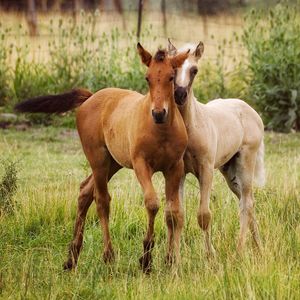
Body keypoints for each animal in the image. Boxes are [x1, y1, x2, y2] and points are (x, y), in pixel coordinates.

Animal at [15, 44, 189, 272]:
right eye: (147, 78)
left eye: (171, 77)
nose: (158, 113)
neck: (161, 131)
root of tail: (90, 97)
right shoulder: (141, 165)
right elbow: (152, 203)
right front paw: (146, 259)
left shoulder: (174, 168)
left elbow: (173, 212)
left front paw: (170, 260)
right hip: (98, 159)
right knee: (102, 200)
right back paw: (108, 256)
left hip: (112, 163)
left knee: (85, 192)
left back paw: (72, 258)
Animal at [169, 40, 264, 255]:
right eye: (172, 67)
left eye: (194, 70)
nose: (180, 94)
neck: (191, 126)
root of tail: (251, 111)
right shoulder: (179, 172)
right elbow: (177, 215)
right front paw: (172, 258)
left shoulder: (206, 170)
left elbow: (204, 215)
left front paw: (210, 255)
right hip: (229, 171)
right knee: (248, 201)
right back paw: (259, 247)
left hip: (246, 162)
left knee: (246, 203)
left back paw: (239, 251)